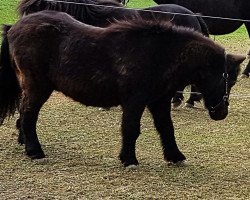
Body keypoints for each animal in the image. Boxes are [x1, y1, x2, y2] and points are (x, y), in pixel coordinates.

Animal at [0, 11, 243, 167]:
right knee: (29, 114)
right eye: (227, 78)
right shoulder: (134, 101)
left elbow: (167, 128)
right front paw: (129, 159)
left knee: (25, 113)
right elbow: (131, 129)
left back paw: (24, 142)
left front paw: (175, 156)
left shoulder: (159, 101)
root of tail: (13, 27)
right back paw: (34, 151)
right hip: (37, 87)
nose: (221, 113)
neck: (160, 54)